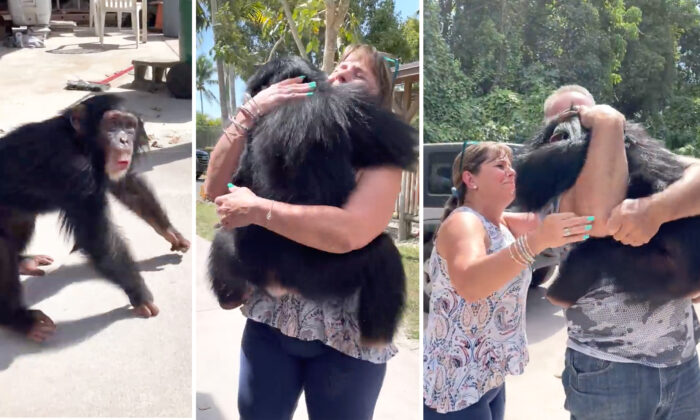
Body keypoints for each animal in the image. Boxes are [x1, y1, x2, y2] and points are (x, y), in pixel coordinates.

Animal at [0, 94, 190, 342]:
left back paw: (24, 262)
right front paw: (140, 295)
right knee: (2, 248)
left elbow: (128, 187)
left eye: (129, 126)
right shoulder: (74, 169)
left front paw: (171, 233)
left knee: (21, 224)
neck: (83, 145)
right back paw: (18, 319)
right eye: (112, 125)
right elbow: (99, 237)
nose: (123, 140)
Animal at [208, 56, 416, 344]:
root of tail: (278, 285)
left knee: (223, 236)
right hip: (322, 275)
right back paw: (376, 339)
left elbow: (233, 184)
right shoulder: (353, 105)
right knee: (384, 252)